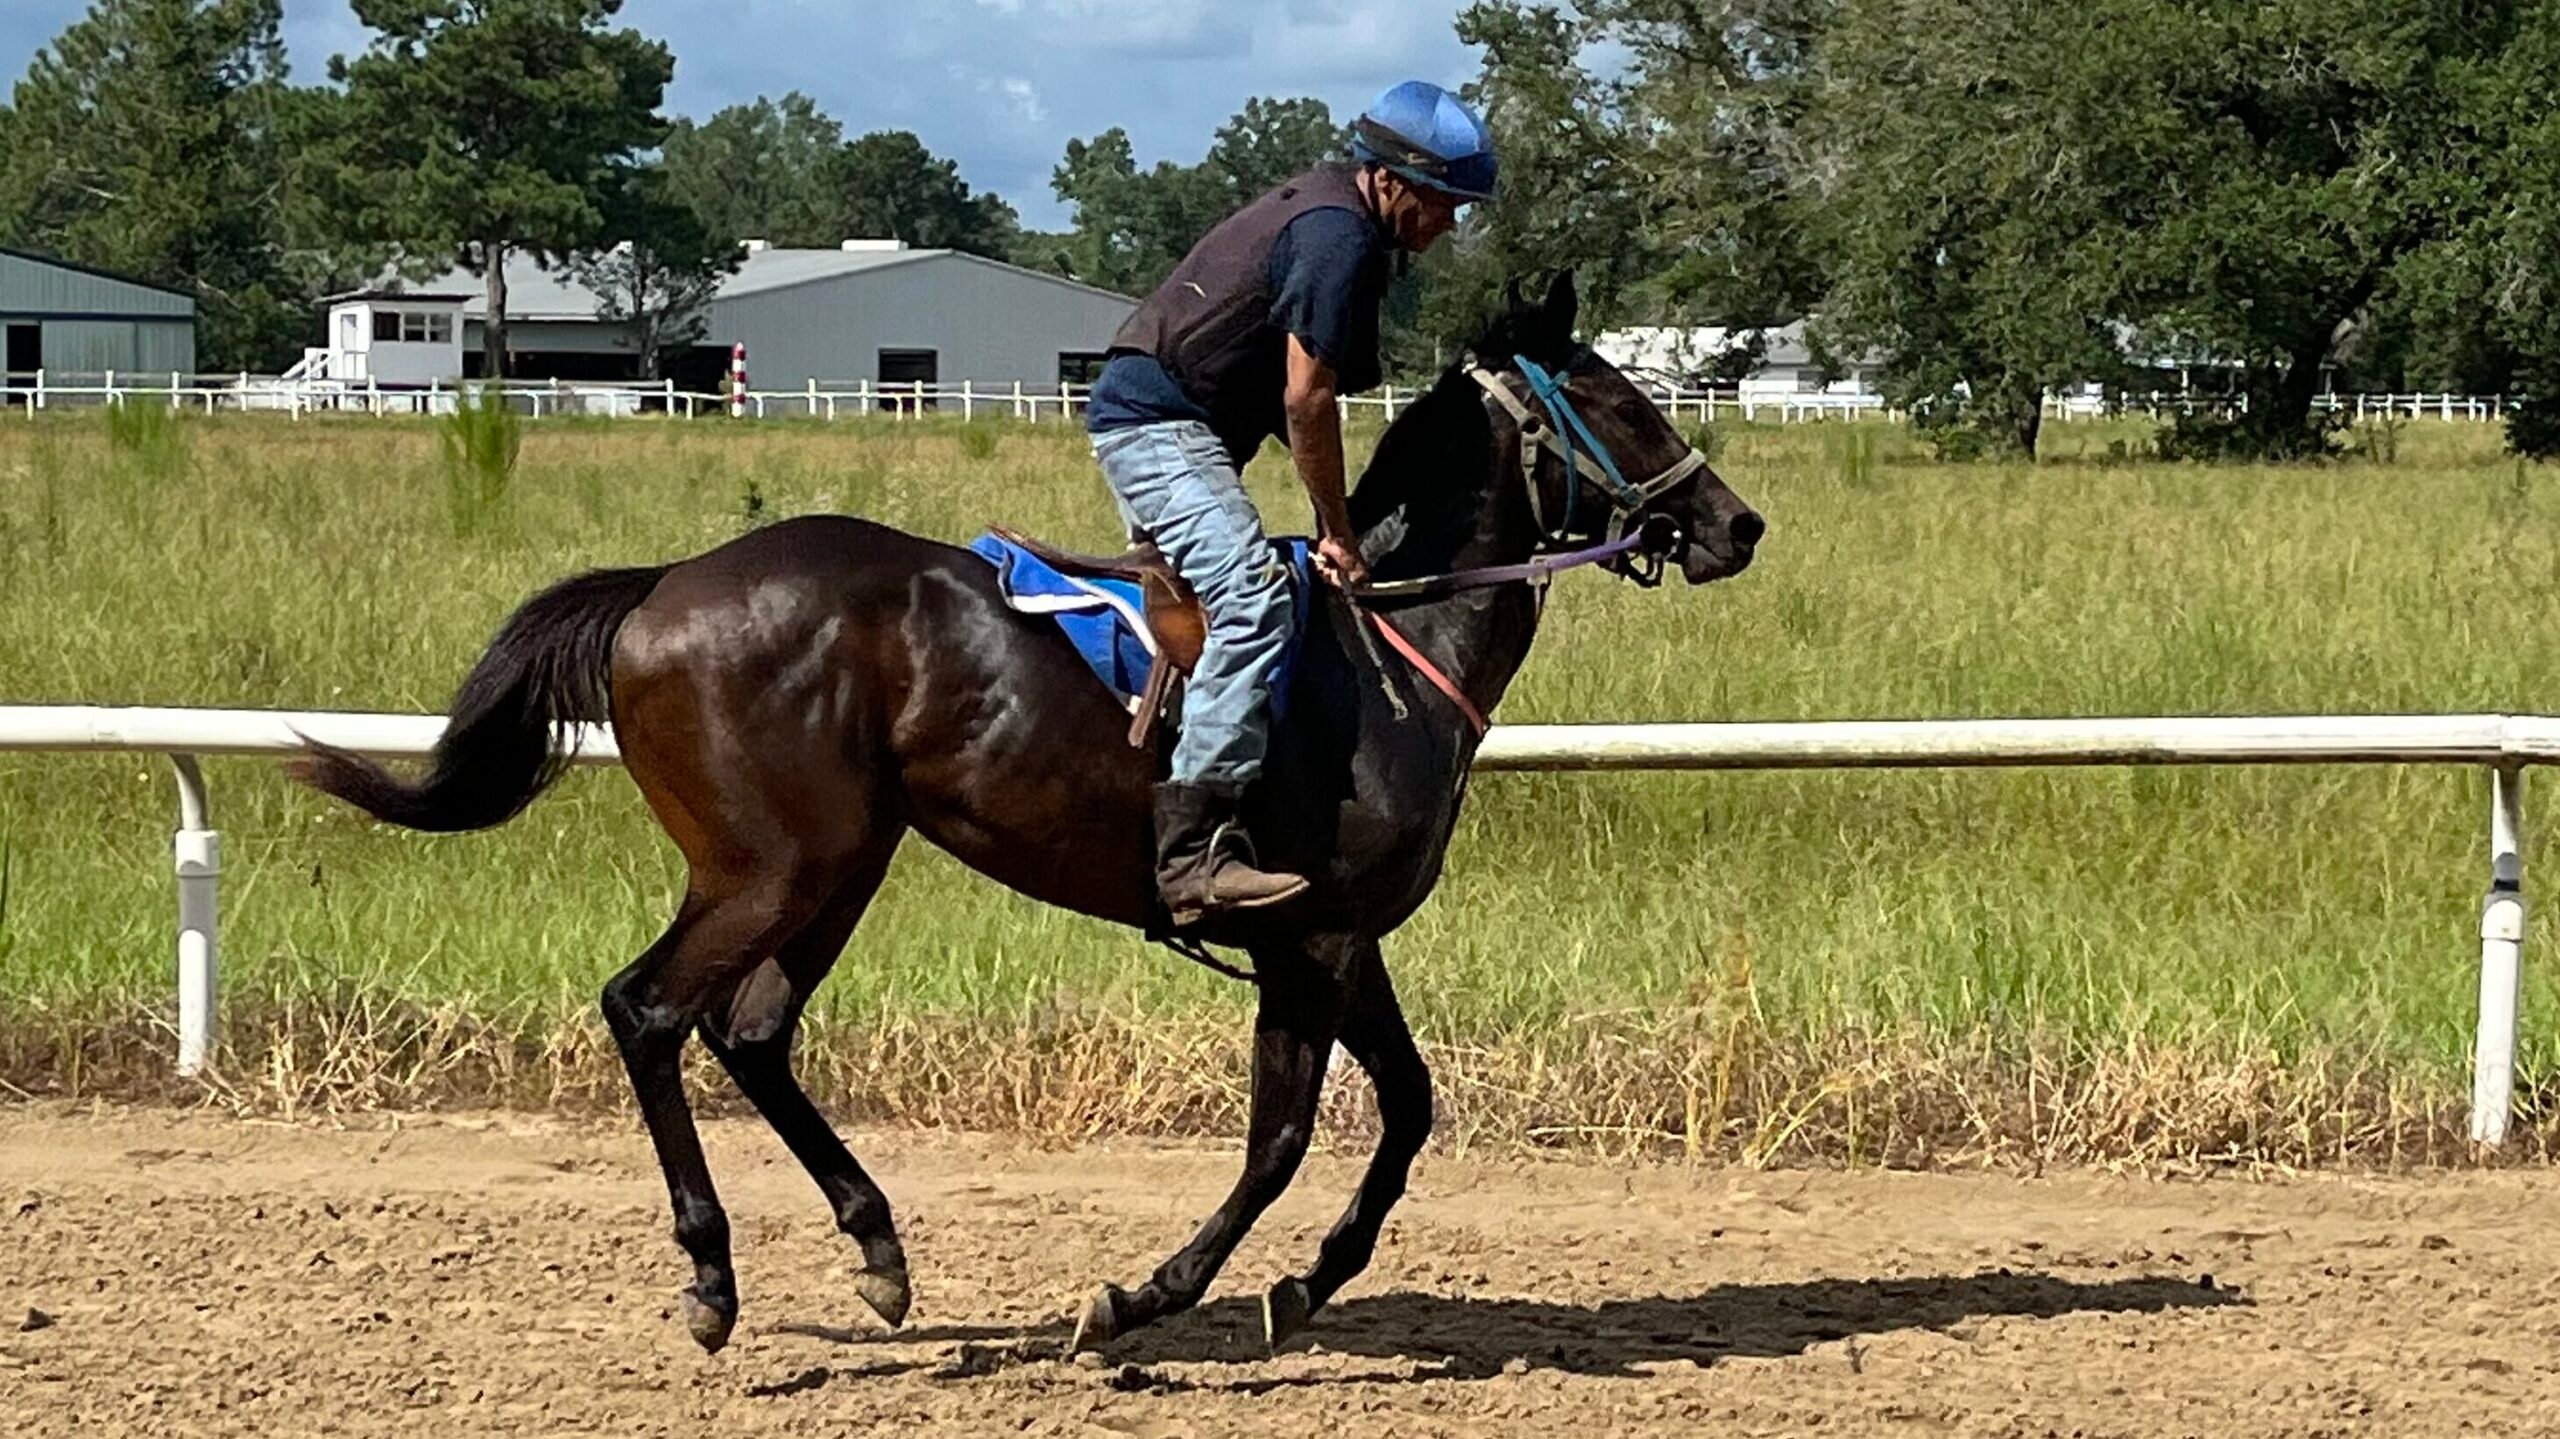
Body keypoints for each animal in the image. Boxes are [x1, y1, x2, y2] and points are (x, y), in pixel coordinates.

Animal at [294, 271, 1761, 1351]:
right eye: (1615, 394)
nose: (1733, 522)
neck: (1392, 643)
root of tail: (663, 586)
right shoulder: (1312, 940)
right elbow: (1308, 1130)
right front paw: (1158, 1292)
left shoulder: (1331, 937)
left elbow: (1374, 1115)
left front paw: (1283, 1282)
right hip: (768, 864)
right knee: (649, 1009)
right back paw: (713, 1276)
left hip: (845, 860)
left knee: (752, 1029)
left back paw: (878, 1243)